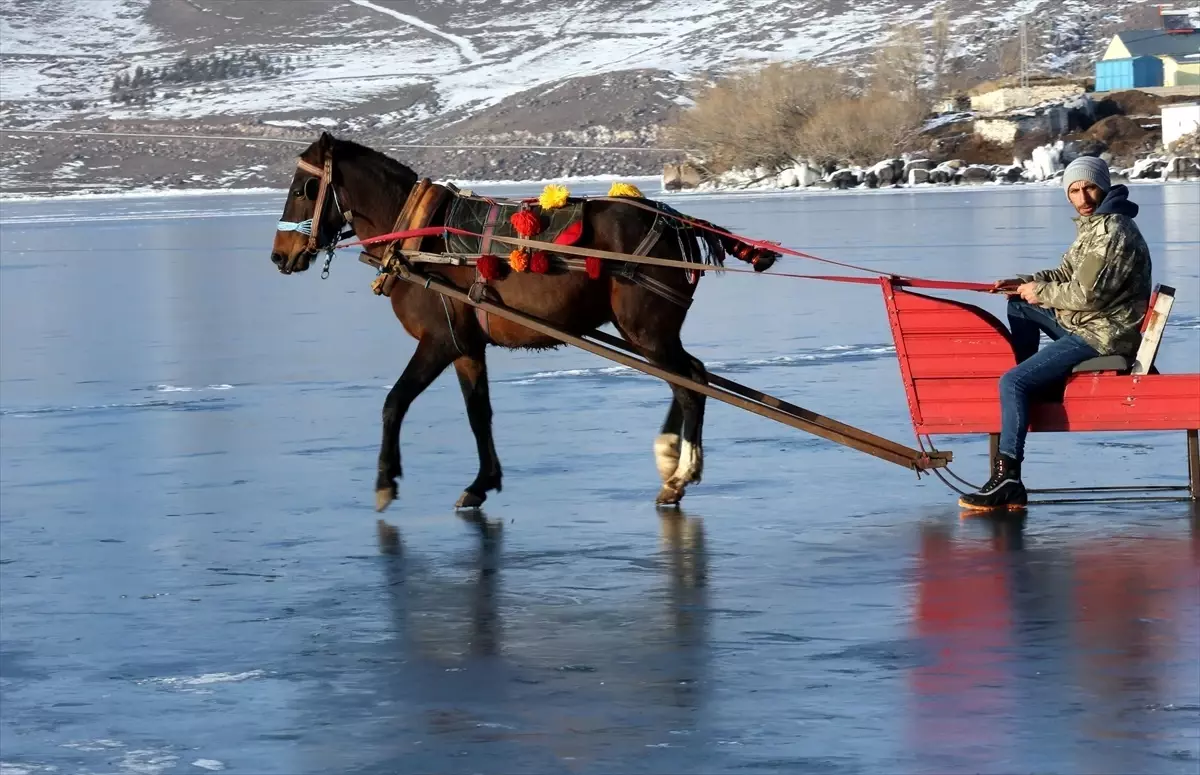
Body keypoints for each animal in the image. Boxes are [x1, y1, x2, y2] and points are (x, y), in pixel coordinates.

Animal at [270, 131, 777, 513]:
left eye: (301, 189)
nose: (280, 255)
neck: (416, 234)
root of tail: (676, 221)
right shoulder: (467, 344)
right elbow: (479, 414)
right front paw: (481, 482)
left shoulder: (438, 340)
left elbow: (394, 402)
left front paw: (385, 481)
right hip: (648, 332)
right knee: (691, 376)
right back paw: (670, 455)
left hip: (646, 329)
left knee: (690, 384)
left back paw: (680, 475)